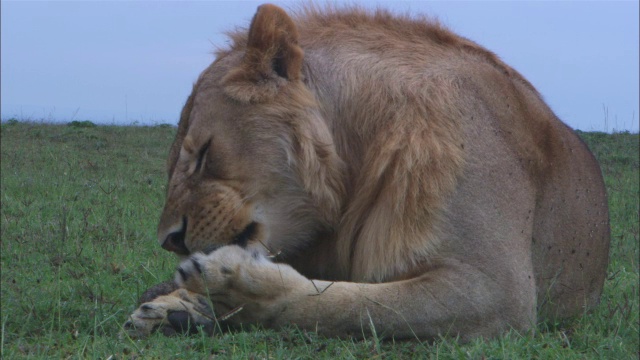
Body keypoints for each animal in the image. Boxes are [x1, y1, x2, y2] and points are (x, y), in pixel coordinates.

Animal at [124, 4, 608, 342]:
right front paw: (172, 307)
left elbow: (350, 305)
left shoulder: (499, 290)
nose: (170, 239)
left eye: (203, 154)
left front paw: (234, 289)